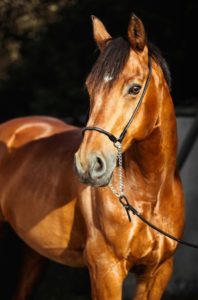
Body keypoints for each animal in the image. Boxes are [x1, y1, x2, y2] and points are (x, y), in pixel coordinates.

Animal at [0, 14, 184, 300]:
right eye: (89, 88)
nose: (87, 164)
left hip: (33, 253)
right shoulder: (106, 270)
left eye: (134, 88)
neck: (148, 194)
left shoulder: (158, 272)